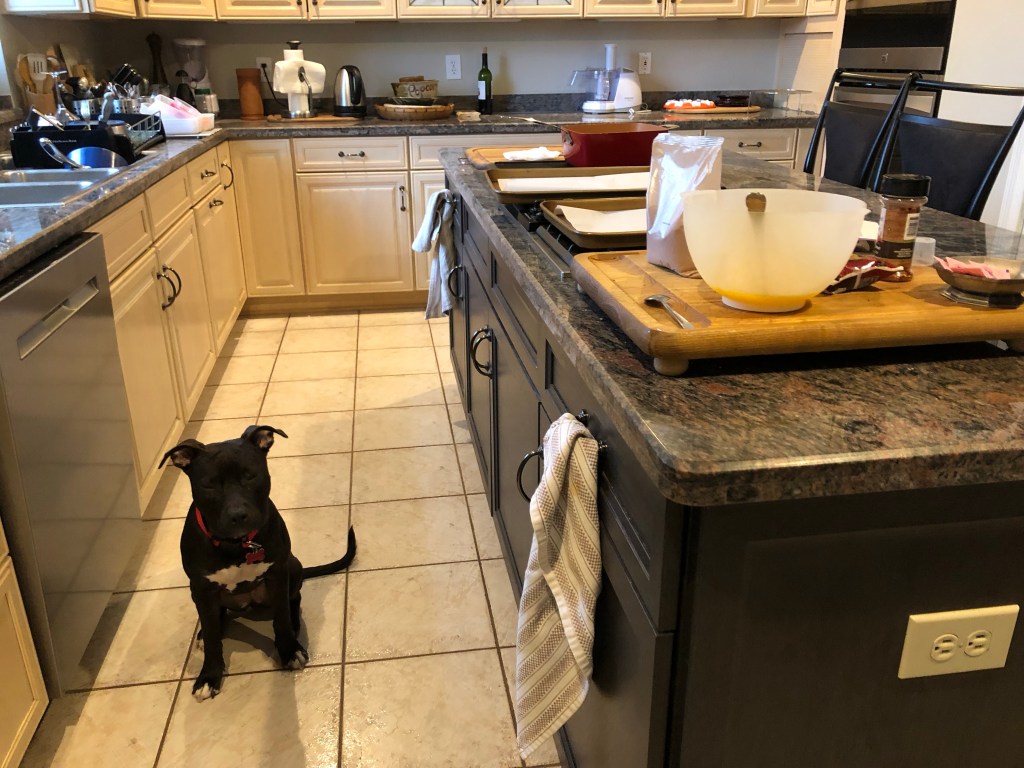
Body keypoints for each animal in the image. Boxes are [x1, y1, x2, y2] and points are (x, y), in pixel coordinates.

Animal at [160, 425, 356, 701]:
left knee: (293, 600)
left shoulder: (278, 573)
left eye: (251, 476)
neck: (237, 545)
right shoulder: (201, 587)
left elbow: (281, 617)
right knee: (214, 617)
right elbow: (211, 635)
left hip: (293, 566)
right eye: (208, 485)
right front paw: (209, 675)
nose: (238, 515)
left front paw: (289, 650)